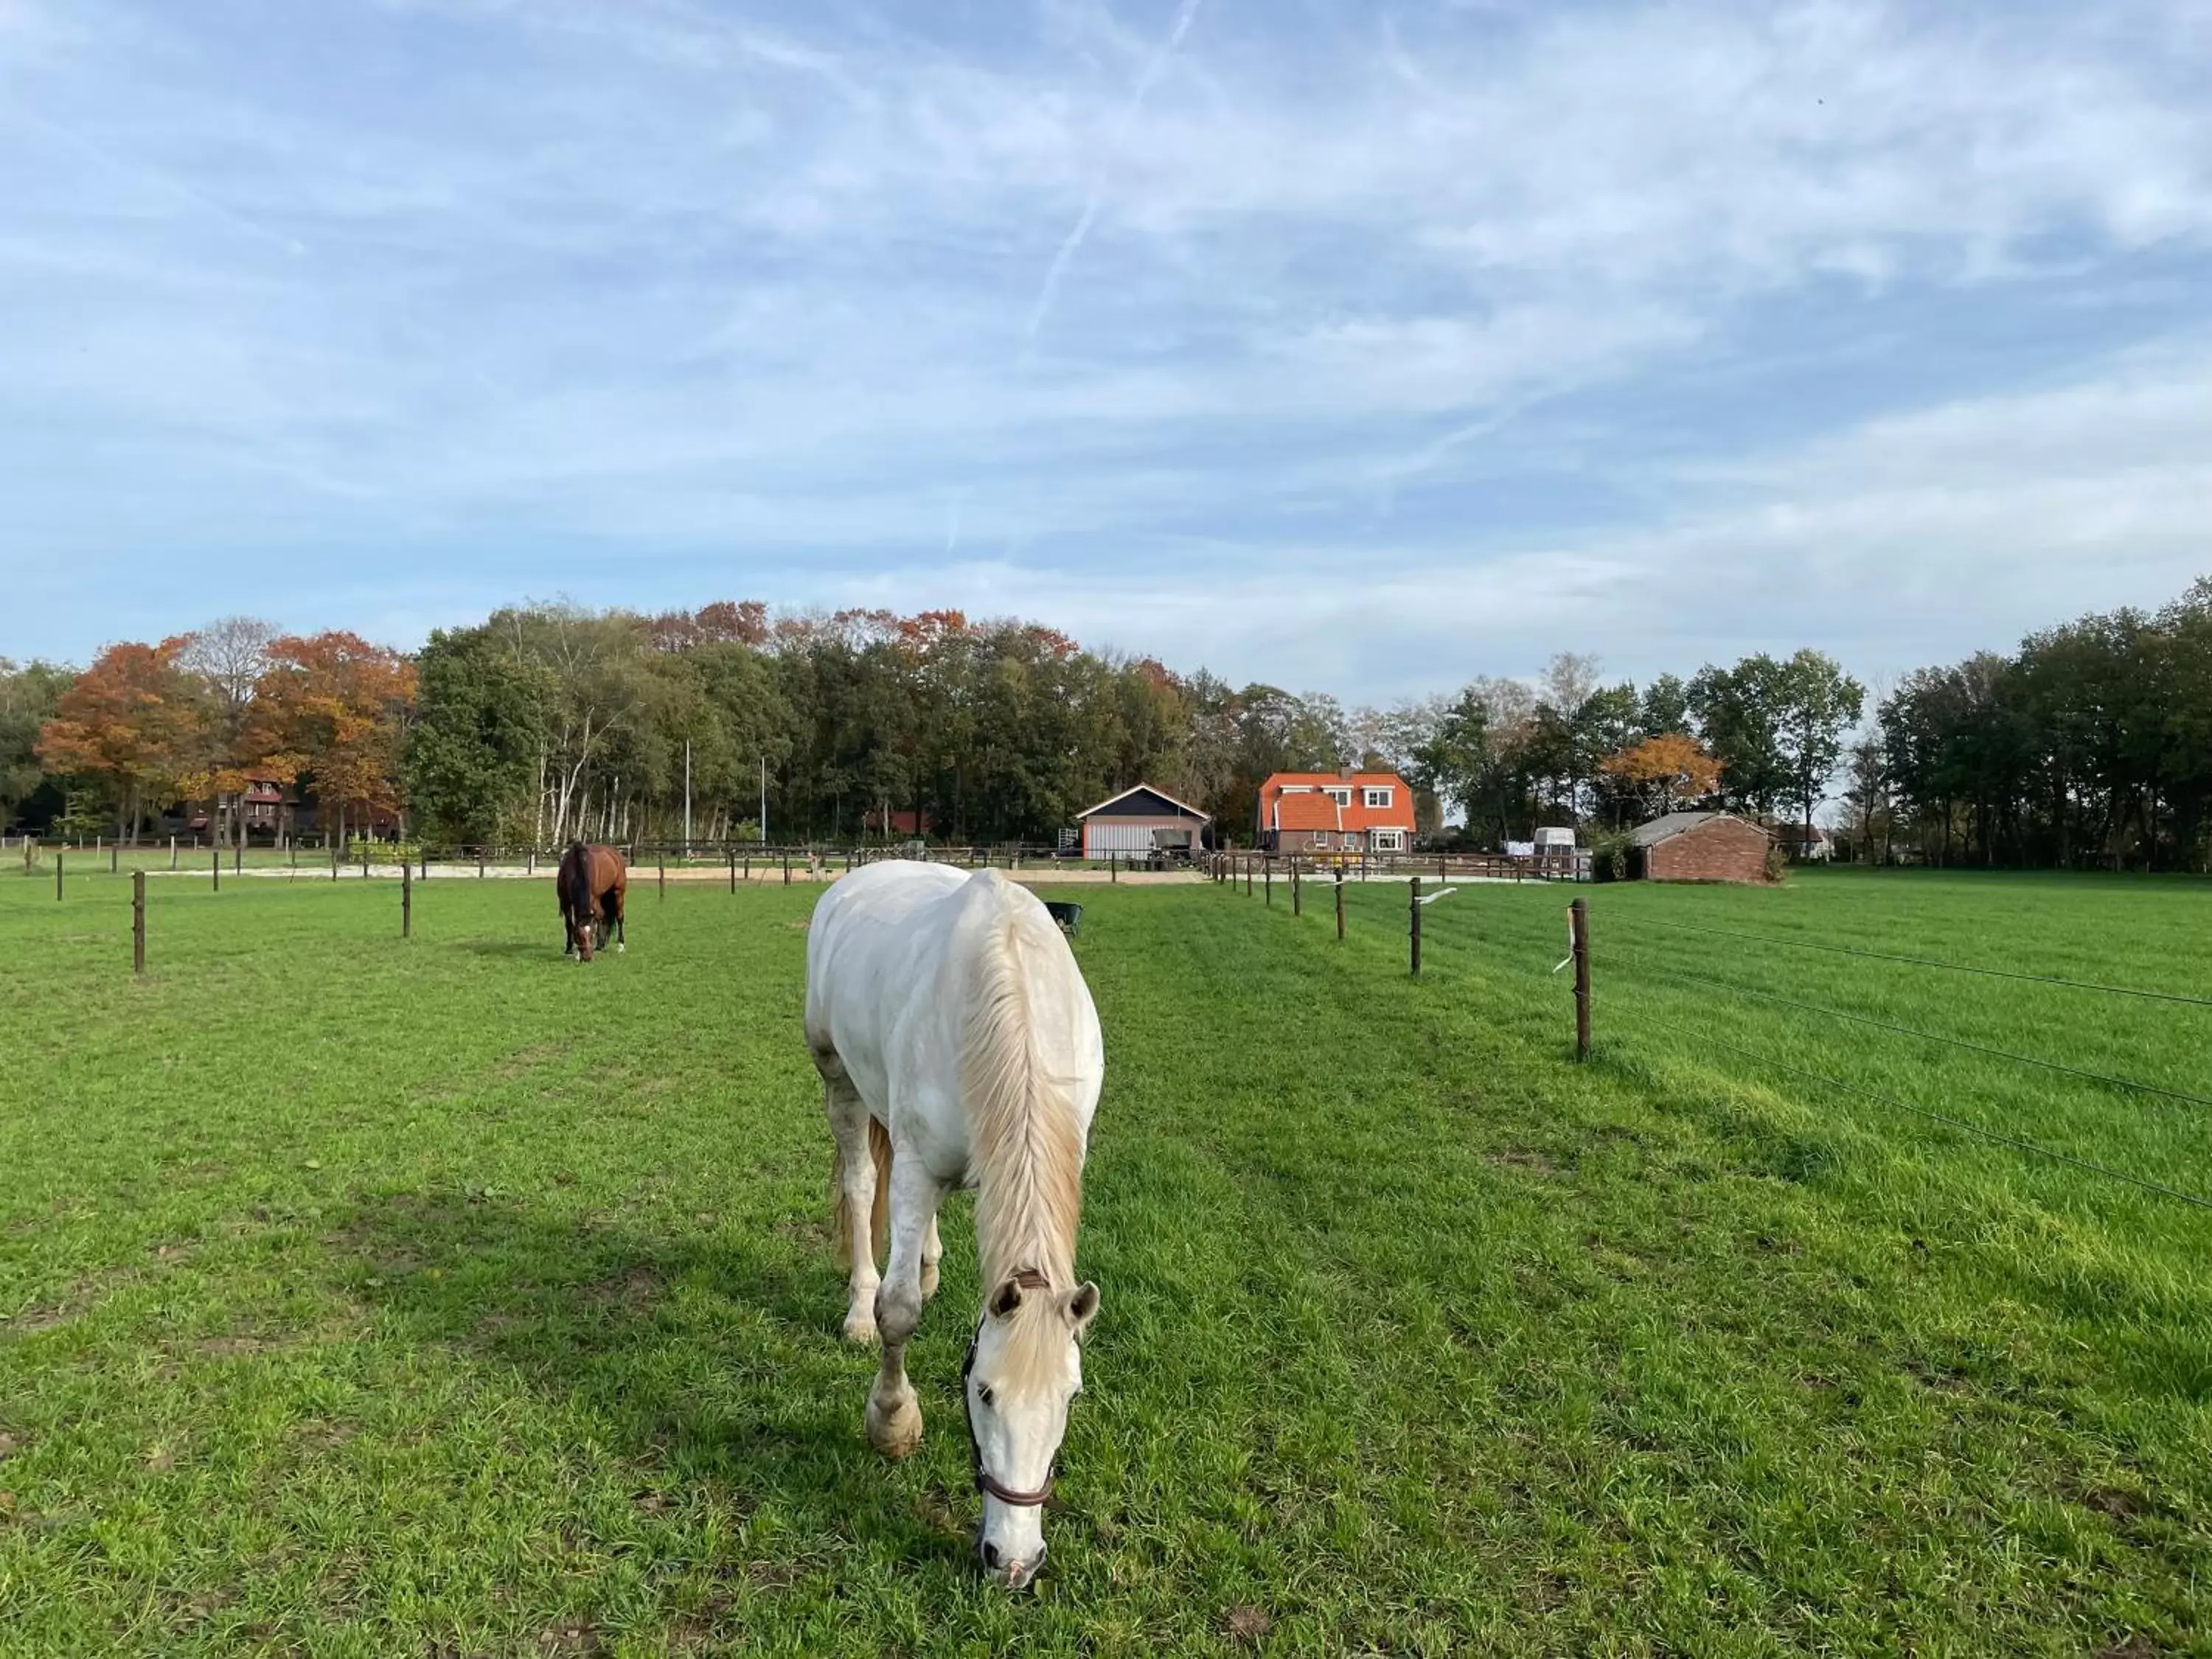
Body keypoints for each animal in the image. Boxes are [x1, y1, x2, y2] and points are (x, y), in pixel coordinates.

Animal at [557, 845, 628, 960]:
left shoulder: (593, 899)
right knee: (602, 917)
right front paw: (569, 950)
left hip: (618, 894)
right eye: (578, 934)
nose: (587, 958)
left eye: (592, 935)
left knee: (619, 917)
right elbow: (569, 925)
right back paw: (600, 946)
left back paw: (620, 946)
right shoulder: (565, 901)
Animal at [805, 863, 1106, 1593]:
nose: (1014, 1561)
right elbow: (899, 1311)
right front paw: (892, 1425)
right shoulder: (915, 1166)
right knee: (861, 1183)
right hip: (838, 1078)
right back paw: (857, 1306)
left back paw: (932, 1263)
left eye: (1072, 1396)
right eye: (985, 1393)